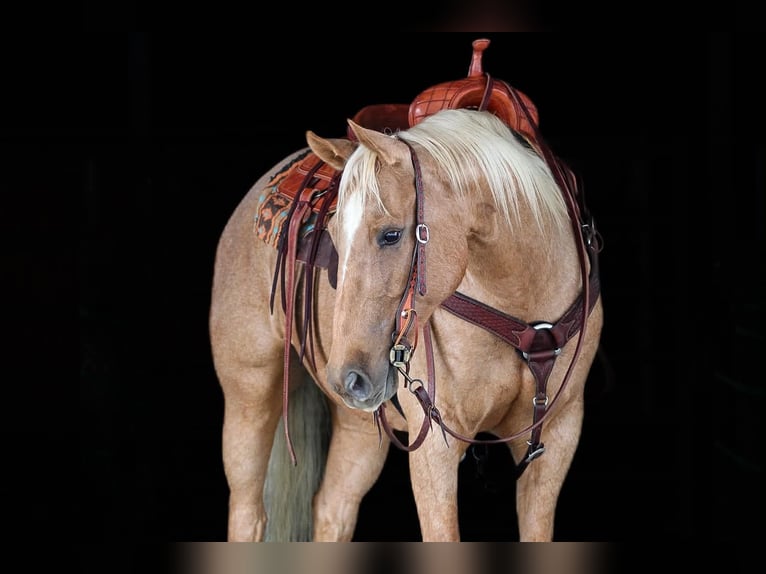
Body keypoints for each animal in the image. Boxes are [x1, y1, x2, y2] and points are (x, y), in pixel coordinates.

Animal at [209, 51, 603, 542]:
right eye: (333, 235)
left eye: (392, 235)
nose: (350, 378)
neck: (524, 304)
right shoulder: (435, 444)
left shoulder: (558, 437)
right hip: (249, 397)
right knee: (248, 512)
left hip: (358, 423)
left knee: (333, 508)